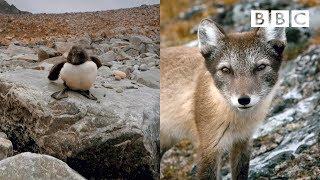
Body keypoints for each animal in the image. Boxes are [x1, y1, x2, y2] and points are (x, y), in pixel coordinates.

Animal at [161, 19, 286, 179]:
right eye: (226, 70)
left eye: (261, 67)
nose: (243, 100)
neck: (237, 121)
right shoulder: (209, 148)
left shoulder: (243, 141)